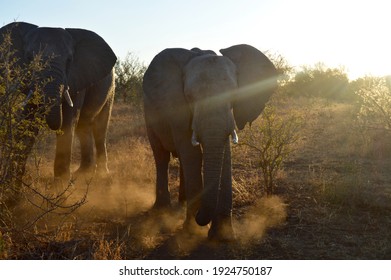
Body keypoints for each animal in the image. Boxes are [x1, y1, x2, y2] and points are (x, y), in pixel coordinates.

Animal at [0, 21, 117, 179]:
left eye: (69, 60)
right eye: (29, 58)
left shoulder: (77, 77)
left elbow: (68, 122)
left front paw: (60, 184)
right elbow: (27, 121)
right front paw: (12, 181)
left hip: (110, 88)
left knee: (99, 127)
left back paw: (101, 174)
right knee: (83, 126)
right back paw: (83, 173)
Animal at [142, 44, 278, 241]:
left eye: (235, 94)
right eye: (189, 97)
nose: (201, 216)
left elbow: (222, 154)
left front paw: (223, 237)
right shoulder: (177, 109)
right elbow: (192, 154)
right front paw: (191, 233)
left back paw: (182, 203)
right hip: (148, 115)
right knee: (161, 157)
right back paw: (162, 210)